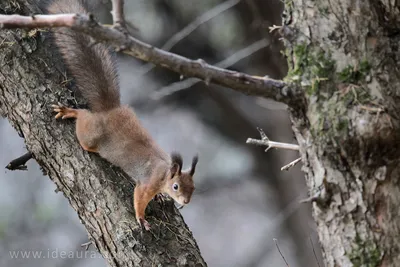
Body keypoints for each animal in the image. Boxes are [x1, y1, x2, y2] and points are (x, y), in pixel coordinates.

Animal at [45, 0, 198, 231]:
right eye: (176, 186)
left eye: (194, 187)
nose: (187, 202)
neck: (164, 171)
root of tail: (109, 110)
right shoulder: (147, 183)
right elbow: (139, 199)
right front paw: (141, 218)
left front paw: (159, 199)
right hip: (90, 136)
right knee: (84, 120)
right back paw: (71, 111)